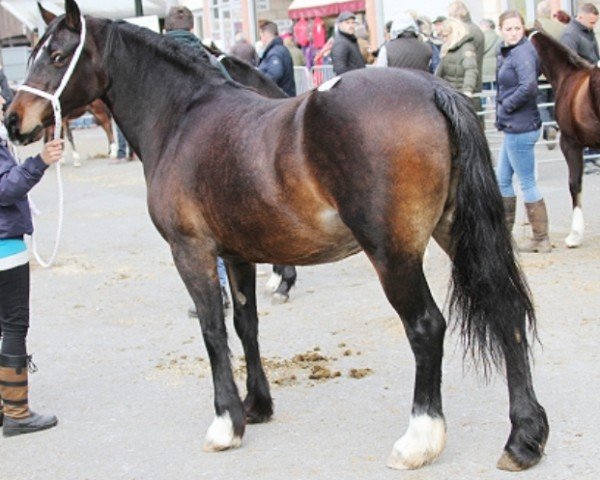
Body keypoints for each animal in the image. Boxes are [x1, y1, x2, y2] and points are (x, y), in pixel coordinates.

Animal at [5, 0, 548, 470]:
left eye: (57, 56)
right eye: (32, 54)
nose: (14, 120)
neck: (182, 119)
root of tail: (432, 90)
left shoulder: (192, 251)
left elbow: (212, 330)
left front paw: (226, 423)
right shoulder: (237, 254)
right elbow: (246, 324)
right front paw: (257, 405)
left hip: (393, 254)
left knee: (426, 327)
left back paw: (419, 440)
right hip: (453, 231)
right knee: (505, 309)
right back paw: (524, 437)